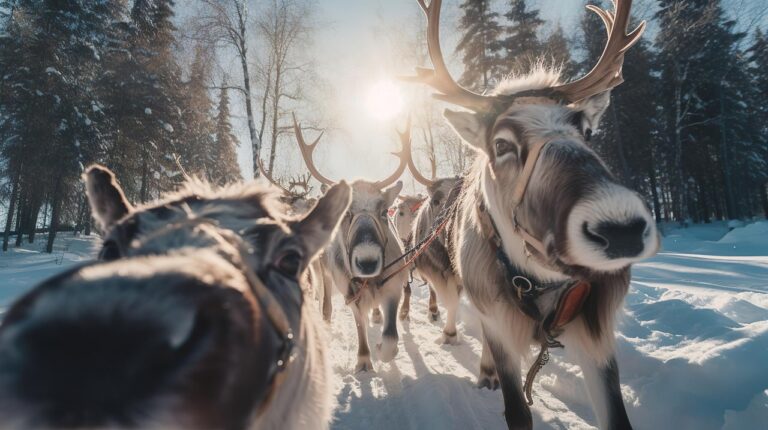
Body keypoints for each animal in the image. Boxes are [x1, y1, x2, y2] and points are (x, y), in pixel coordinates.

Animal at [292, 114, 409, 373]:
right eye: (346, 213)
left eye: (384, 212)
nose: (367, 262)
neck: (370, 281)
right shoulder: (349, 292)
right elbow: (359, 328)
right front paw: (364, 360)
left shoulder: (393, 286)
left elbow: (390, 336)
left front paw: (385, 350)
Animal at [404, 1, 658, 428]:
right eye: (501, 144)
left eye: (587, 131)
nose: (621, 229)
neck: (540, 284)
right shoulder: (499, 321)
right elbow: (517, 411)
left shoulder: (596, 336)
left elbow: (616, 418)